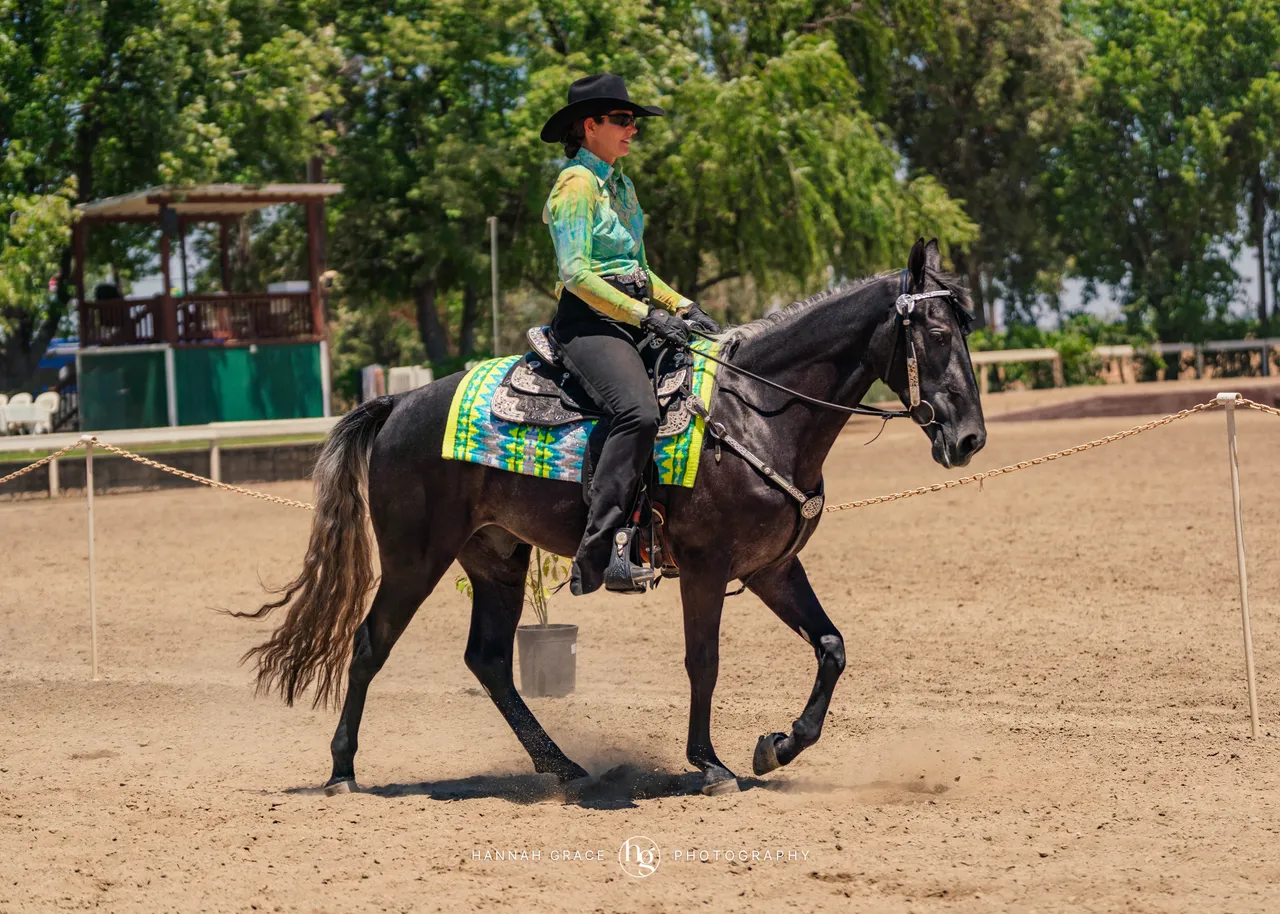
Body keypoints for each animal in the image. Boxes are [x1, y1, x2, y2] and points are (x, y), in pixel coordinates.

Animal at [236, 237, 987, 797]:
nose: (970, 438)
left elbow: (831, 647)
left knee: (489, 660)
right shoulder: (707, 569)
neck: (756, 412)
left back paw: (563, 767)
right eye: (935, 331)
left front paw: (777, 746)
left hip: (497, 558)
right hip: (414, 559)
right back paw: (342, 771)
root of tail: (398, 405)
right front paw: (710, 764)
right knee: (370, 645)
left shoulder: (772, 567)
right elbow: (704, 661)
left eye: (966, 329)